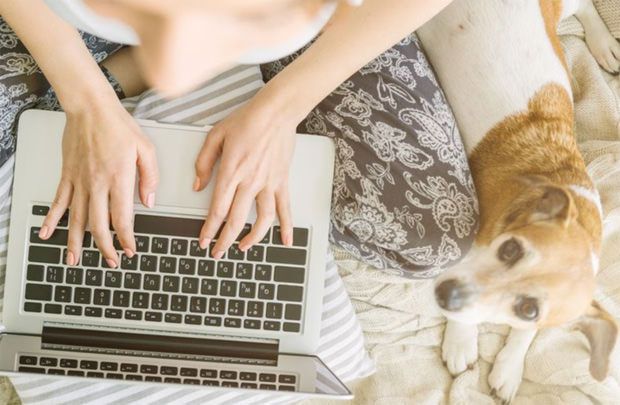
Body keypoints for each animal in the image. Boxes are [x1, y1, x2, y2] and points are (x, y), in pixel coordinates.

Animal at [418, 0, 616, 400]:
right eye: (510, 249)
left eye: (528, 309)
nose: (449, 296)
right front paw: (461, 340)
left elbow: (526, 335)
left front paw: (510, 366)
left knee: (585, 6)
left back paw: (603, 43)